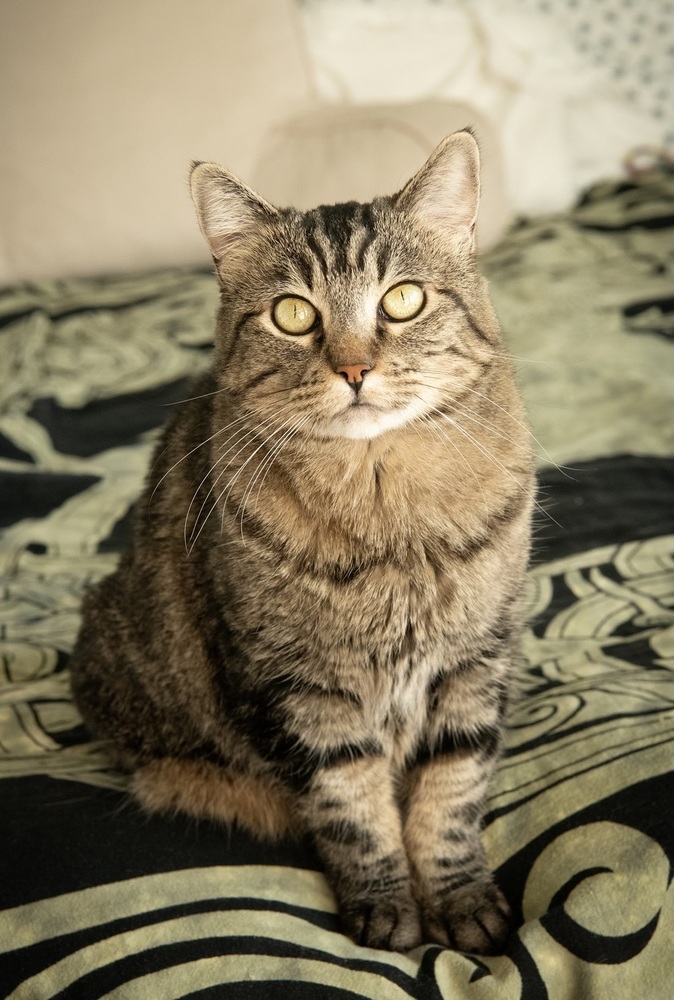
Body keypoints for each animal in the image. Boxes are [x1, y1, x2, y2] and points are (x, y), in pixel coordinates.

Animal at [69, 133, 532, 952]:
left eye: (402, 300)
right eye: (293, 314)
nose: (353, 368)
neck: (384, 506)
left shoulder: (476, 663)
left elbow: (451, 795)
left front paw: (460, 900)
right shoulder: (301, 690)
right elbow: (352, 808)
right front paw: (387, 910)